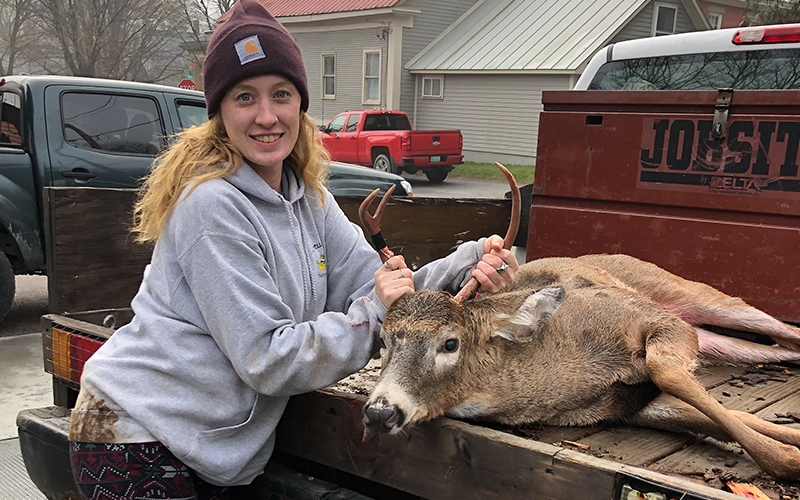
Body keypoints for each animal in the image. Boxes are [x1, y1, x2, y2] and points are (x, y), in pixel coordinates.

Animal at [360, 162, 800, 478]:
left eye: (450, 342)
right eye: (384, 340)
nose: (380, 412)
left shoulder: (653, 320)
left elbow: (667, 371)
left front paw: (789, 456)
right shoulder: (629, 406)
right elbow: (731, 417)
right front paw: (791, 441)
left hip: (690, 295)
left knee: (785, 331)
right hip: (709, 336)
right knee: (780, 348)